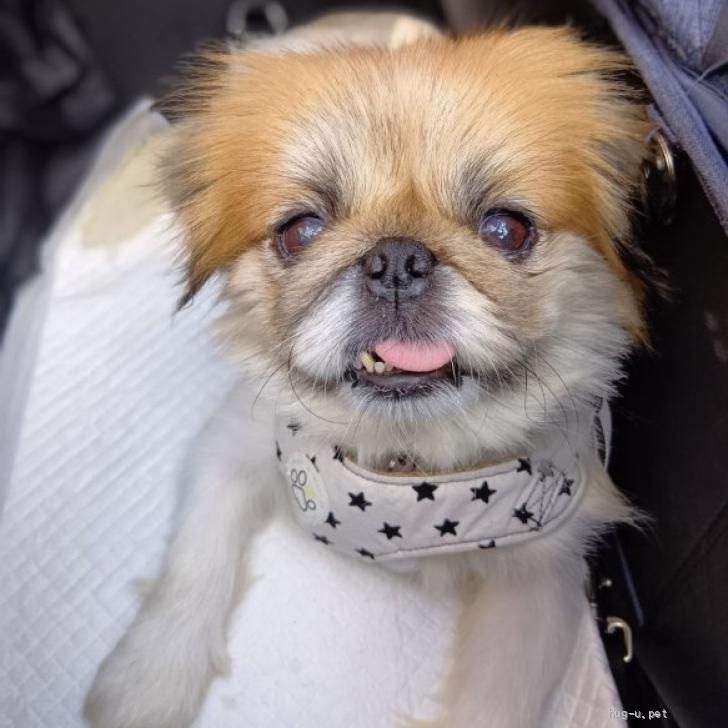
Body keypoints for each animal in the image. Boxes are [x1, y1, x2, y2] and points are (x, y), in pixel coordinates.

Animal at [85, 12, 650, 728]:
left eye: (506, 229)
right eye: (300, 231)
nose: (398, 259)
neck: (407, 470)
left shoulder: (538, 581)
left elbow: (492, 704)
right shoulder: (236, 443)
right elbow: (191, 564)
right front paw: (148, 682)